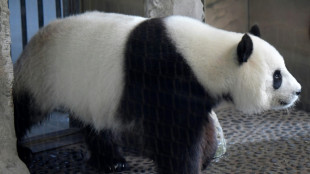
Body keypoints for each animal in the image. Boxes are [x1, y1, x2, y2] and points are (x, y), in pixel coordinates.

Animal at [13, 11, 302, 173]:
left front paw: (206, 156)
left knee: (95, 124)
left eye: (284, 68)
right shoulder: (166, 79)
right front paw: (186, 166)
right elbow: (175, 137)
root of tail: (37, 34)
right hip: (44, 75)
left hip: (89, 90)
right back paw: (23, 151)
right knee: (23, 109)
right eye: (277, 77)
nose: (299, 91)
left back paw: (111, 160)